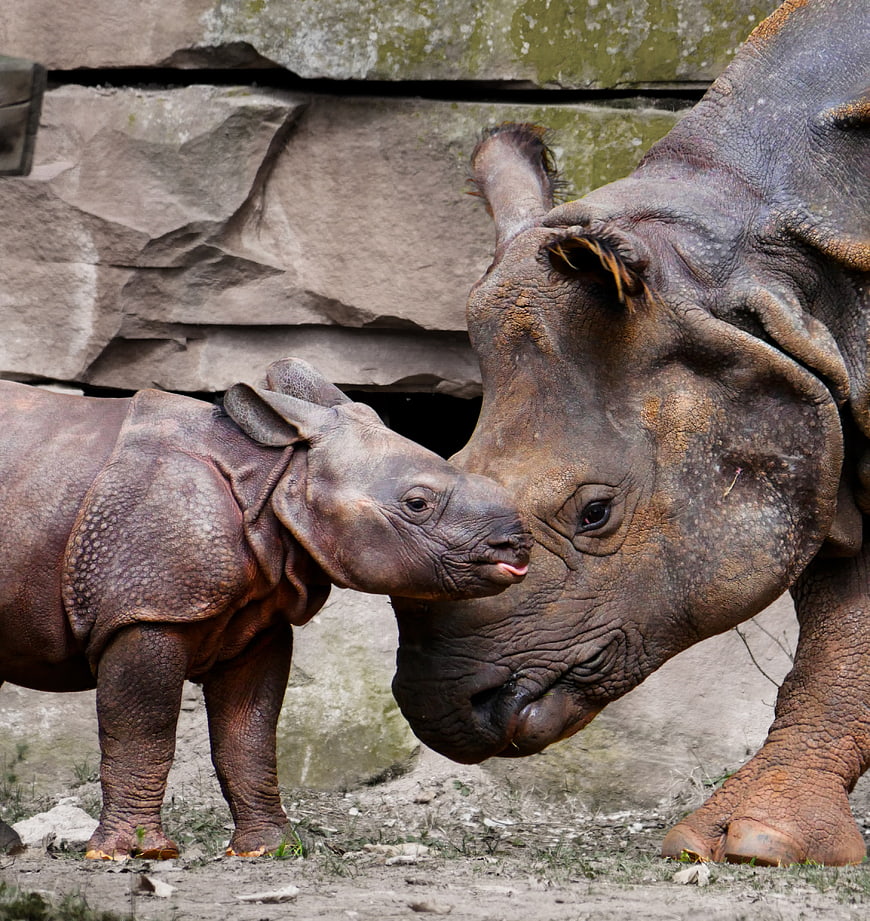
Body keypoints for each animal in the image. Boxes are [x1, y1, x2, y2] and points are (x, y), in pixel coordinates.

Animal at [0, 358, 530, 860]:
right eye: (417, 504)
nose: (517, 545)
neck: (278, 476)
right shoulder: (148, 610)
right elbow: (142, 731)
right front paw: (131, 852)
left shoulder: (257, 620)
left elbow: (249, 734)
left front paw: (272, 848)